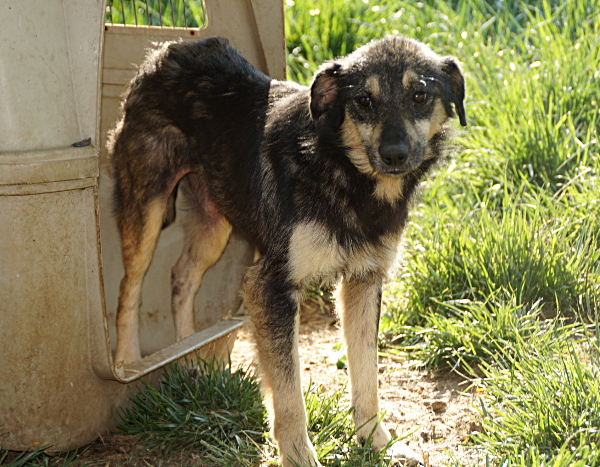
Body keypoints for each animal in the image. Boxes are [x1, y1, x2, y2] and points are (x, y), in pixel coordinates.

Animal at [106, 36, 464, 467]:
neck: (342, 171)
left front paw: (377, 441)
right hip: (147, 208)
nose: (394, 153)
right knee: (129, 287)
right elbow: (289, 391)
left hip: (215, 222)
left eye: (419, 95)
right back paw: (127, 362)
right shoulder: (269, 285)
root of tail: (167, 50)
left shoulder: (364, 281)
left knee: (182, 277)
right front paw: (298, 455)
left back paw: (190, 359)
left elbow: (366, 373)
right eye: (364, 100)